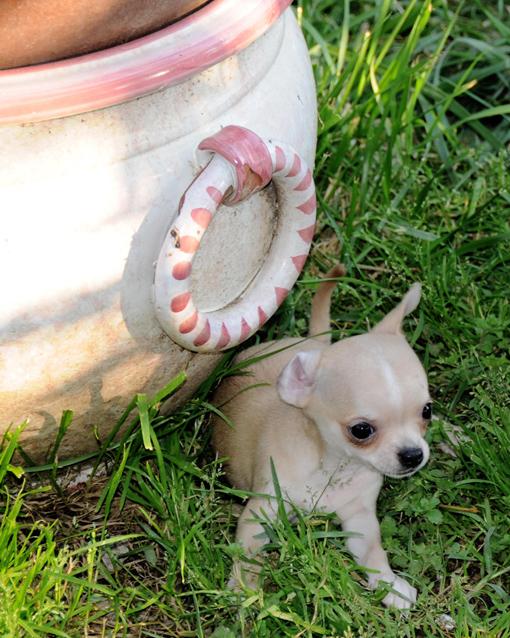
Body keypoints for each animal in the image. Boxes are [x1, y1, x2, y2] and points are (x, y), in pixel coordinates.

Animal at [211, 268, 430, 612]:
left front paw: (390, 584)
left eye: (427, 411)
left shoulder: (360, 518)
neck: (333, 467)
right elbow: (247, 555)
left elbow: (373, 552)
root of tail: (315, 345)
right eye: (361, 430)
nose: (413, 455)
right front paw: (245, 589)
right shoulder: (261, 513)